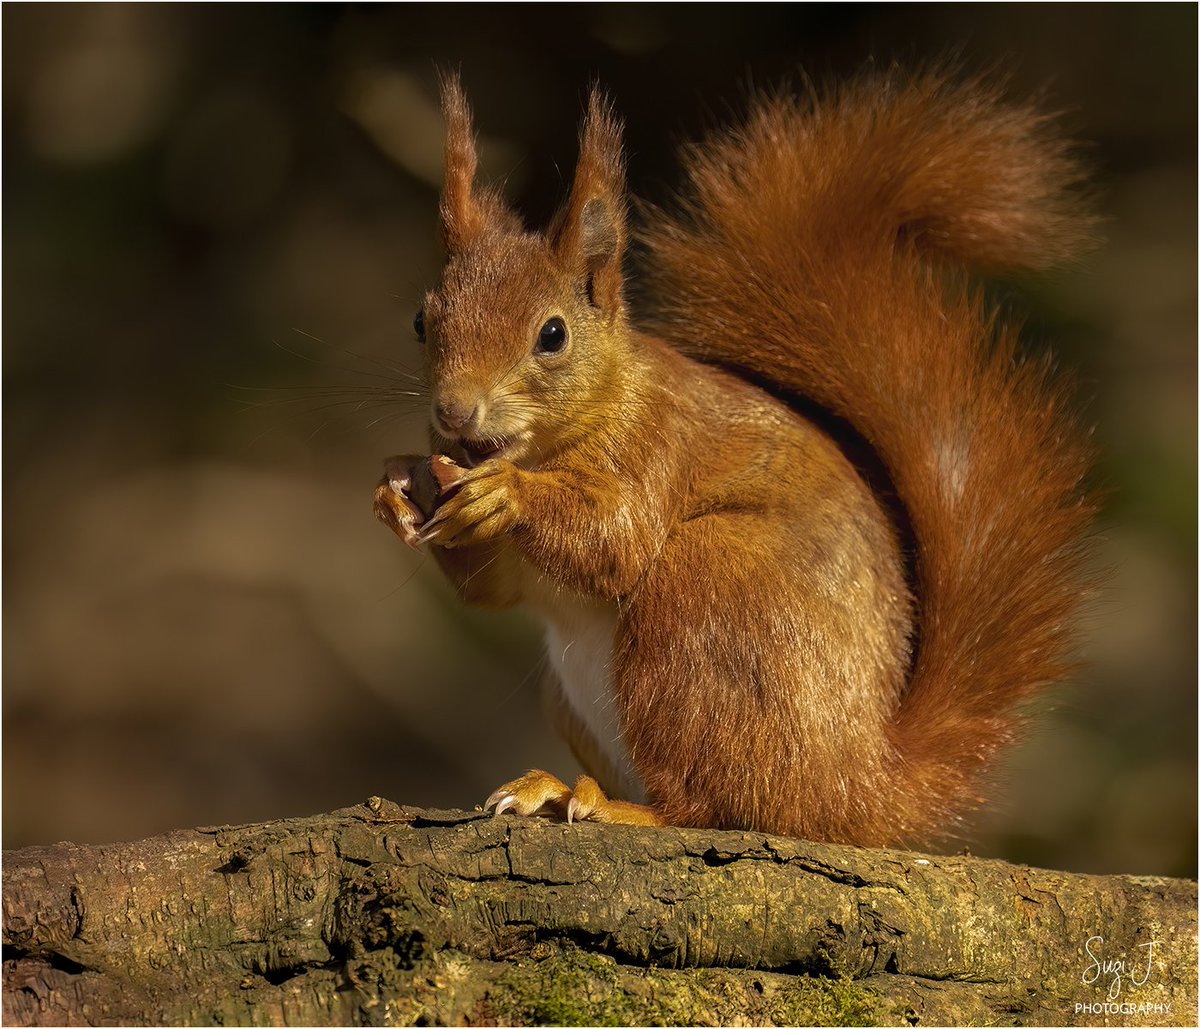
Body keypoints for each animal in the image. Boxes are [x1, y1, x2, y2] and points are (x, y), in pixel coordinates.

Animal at [374, 70, 1099, 844]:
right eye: (421, 320)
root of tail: (859, 788)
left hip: (707, 596)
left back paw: (613, 804)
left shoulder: (658, 444)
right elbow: (493, 589)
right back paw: (554, 789)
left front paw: (505, 493)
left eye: (553, 335)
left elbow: (619, 539)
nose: (454, 414)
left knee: (709, 808)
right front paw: (397, 485)